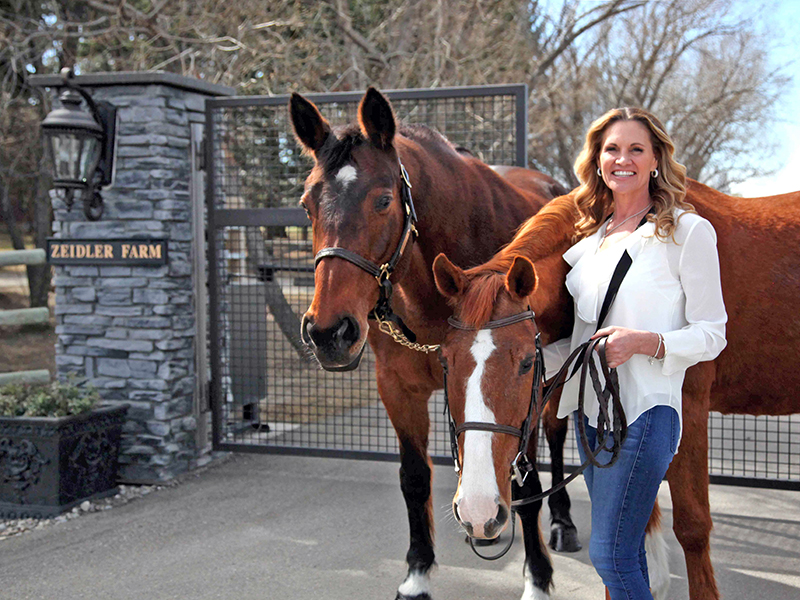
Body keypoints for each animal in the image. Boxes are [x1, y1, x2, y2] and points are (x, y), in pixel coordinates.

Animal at [289, 87, 576, 600]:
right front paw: (417, 573)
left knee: (557, 435)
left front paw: (538, 577)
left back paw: (561, 521)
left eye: (384, 200)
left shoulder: (526, 379)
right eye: (306, 205)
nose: (328, 333)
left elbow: (526, 485)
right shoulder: (398, 388)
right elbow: (415, 478)